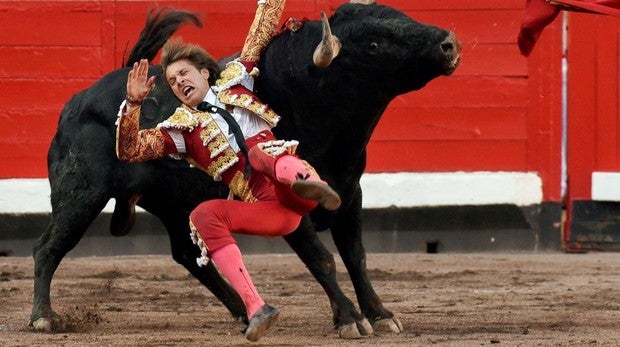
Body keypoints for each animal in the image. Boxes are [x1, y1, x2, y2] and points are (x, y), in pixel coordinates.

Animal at [31, 2, 462, 340]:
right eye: (374, 44)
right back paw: (44, 318)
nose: (449, 43)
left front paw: (381, 315)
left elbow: (356, 256)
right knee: (48, 246)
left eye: (400, 15)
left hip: (172, 203)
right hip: (81, 195)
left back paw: (242, 310)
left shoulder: (349, 192)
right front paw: (350, 320)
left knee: (186, 252)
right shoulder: (294, 209)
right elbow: (321, 257)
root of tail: (76, 102)